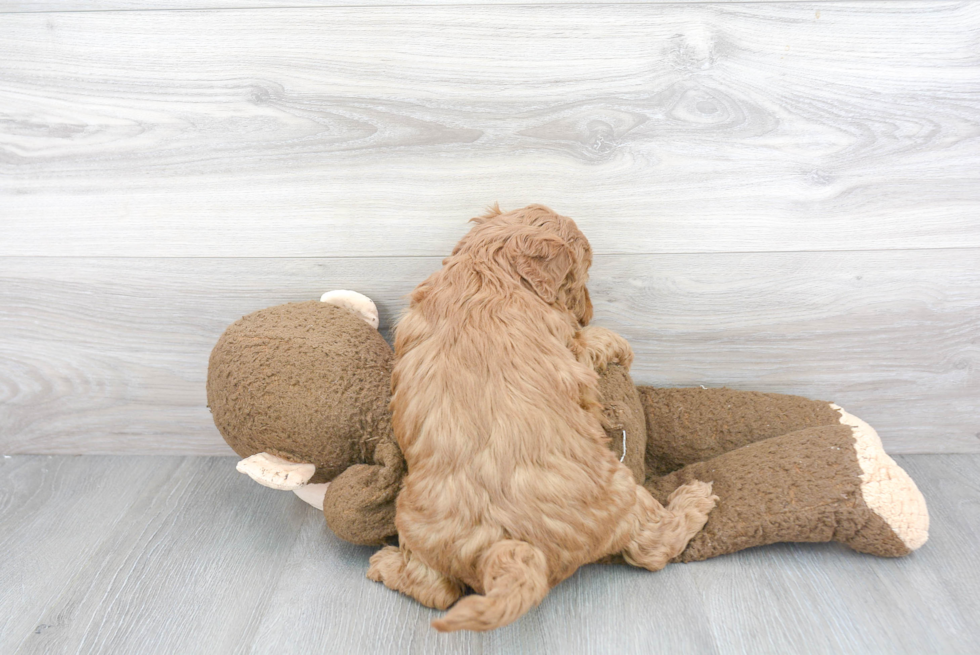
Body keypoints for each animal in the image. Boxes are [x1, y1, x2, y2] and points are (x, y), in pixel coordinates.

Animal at [368, 205, 720, 632]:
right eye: (581, 275)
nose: (588, 313)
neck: (486, 272)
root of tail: (505, 546)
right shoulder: (570, 349)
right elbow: (592, 343)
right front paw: (618, 343)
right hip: (623, 490)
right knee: (652, 548)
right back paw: (694, 499)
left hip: (416, 526)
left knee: (436, 590)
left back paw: (384, 565)